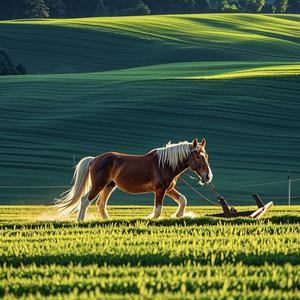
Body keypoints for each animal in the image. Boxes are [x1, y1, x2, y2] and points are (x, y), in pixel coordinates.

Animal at [55, 138, 211, 220]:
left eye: (206, 156)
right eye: (198, 156)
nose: (208, 177)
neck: (165, 164)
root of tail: (94, 159)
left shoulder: (168, 189)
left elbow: (183, 200)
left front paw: (178, 215)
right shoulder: (160, 190)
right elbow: (157, 211)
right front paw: (147, 218)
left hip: (109, 185)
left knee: (100, 203)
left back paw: (106, 220)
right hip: (99, 185)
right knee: (86, 200)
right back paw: (80, 221)